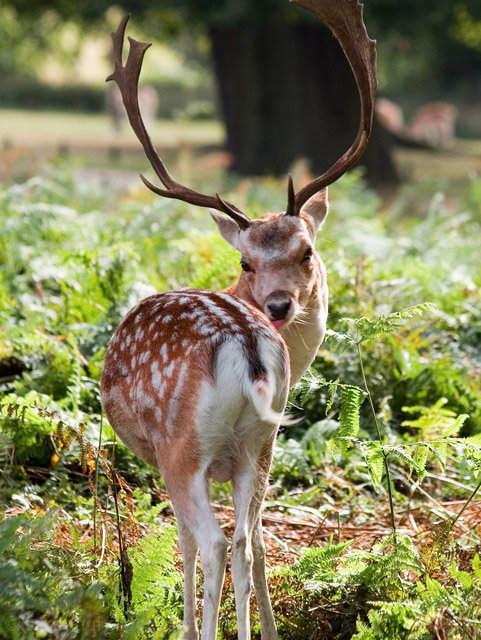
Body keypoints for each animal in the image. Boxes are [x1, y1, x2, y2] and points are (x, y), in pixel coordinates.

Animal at [98, 2, 376, 636]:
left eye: (307, 251)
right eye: (246, 260)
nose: (278, 306)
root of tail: (247, 345)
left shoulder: (165, 459)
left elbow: (183, 545)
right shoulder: (259, 454)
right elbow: (262, 540)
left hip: (183, 449)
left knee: (216, 543)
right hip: (256, 443)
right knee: (246, 543)